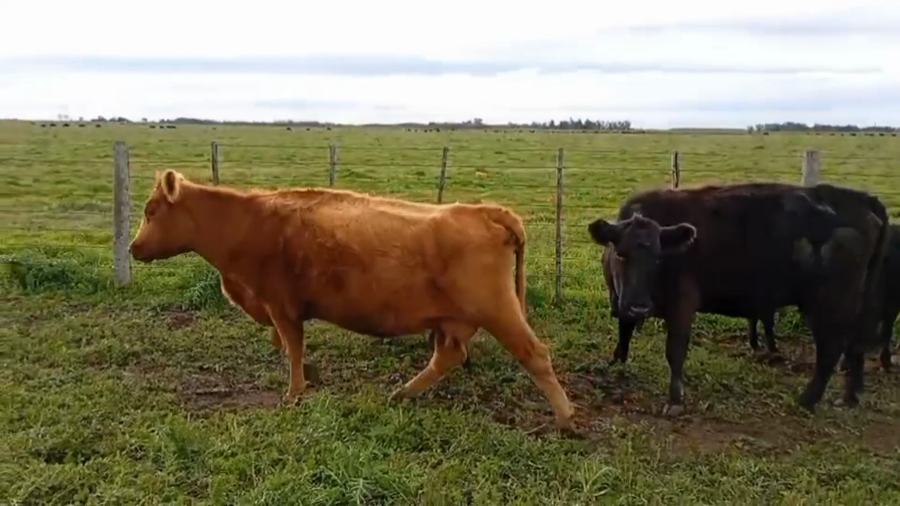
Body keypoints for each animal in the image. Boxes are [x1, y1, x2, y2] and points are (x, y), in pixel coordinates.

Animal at [129, 170, 575, 432]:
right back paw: (402, 394)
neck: (250, 223)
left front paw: (294, 394)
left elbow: (292, 348)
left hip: (499, 311)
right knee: (447, 357)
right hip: (455, 322)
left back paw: (566, 419)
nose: (133, 248)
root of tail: (487, 211)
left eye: (151, 210)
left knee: (535, 354)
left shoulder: (281, 305)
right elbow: (291, 348)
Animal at [588, 182, 889, 416]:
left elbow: (675, 351)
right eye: (621, 253)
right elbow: (624, 331)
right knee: (855, 346)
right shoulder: (622, 301)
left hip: (829, 304)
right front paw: (616, 363)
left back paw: (807, 399)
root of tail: (861, 199)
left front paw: (675, 400)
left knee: (831, 350)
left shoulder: (682, 305)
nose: (639, 304)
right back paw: (850, 396)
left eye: (658, 257)